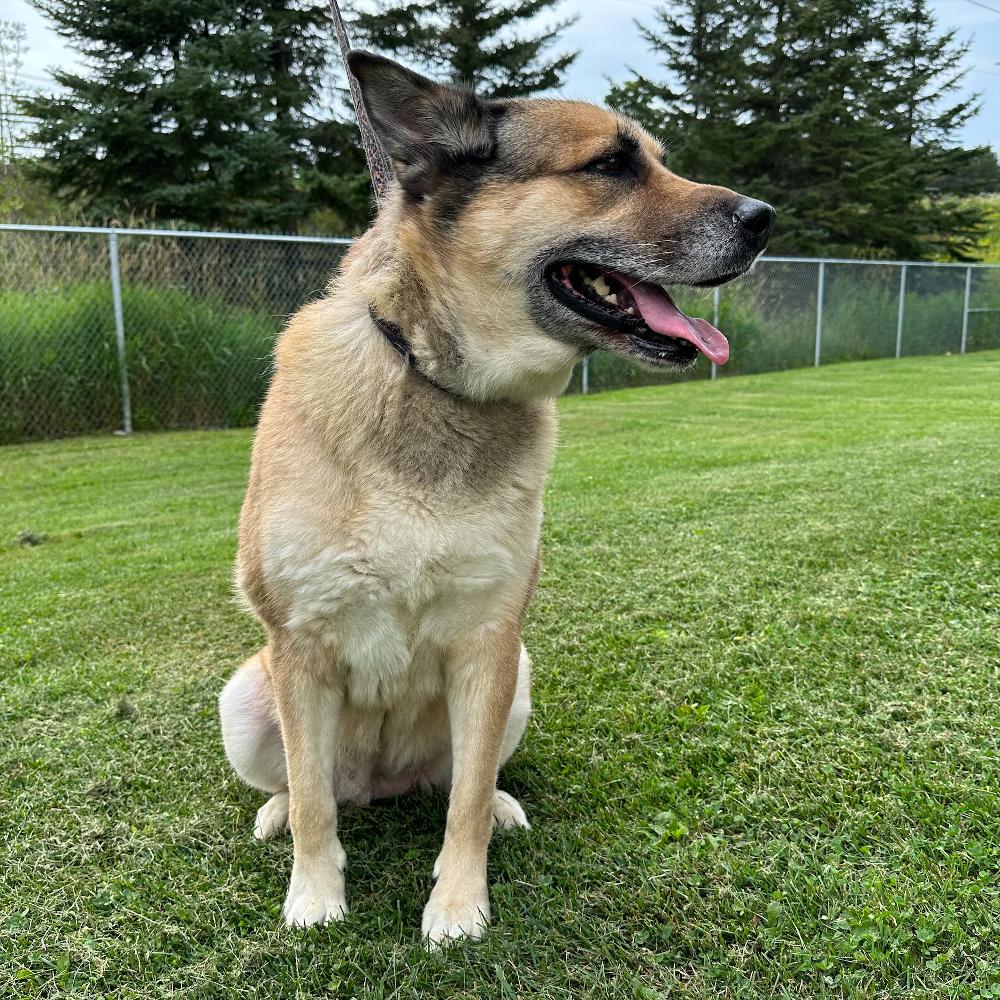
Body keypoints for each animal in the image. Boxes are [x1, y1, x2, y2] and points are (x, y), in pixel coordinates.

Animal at [217, 54, 772, 944]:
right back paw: (277, 815)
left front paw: (458, 906)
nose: (766, 218)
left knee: (452, 784)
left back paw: (501, 805)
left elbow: (467, 800)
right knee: (311, 789)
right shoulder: (298, 646)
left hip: (519, 674)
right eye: (610, 165)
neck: (435, 384)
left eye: (654, 159)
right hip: (247, 695)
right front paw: (315, 898)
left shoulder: (488, 642)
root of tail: (383, 784)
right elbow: (311, 802)